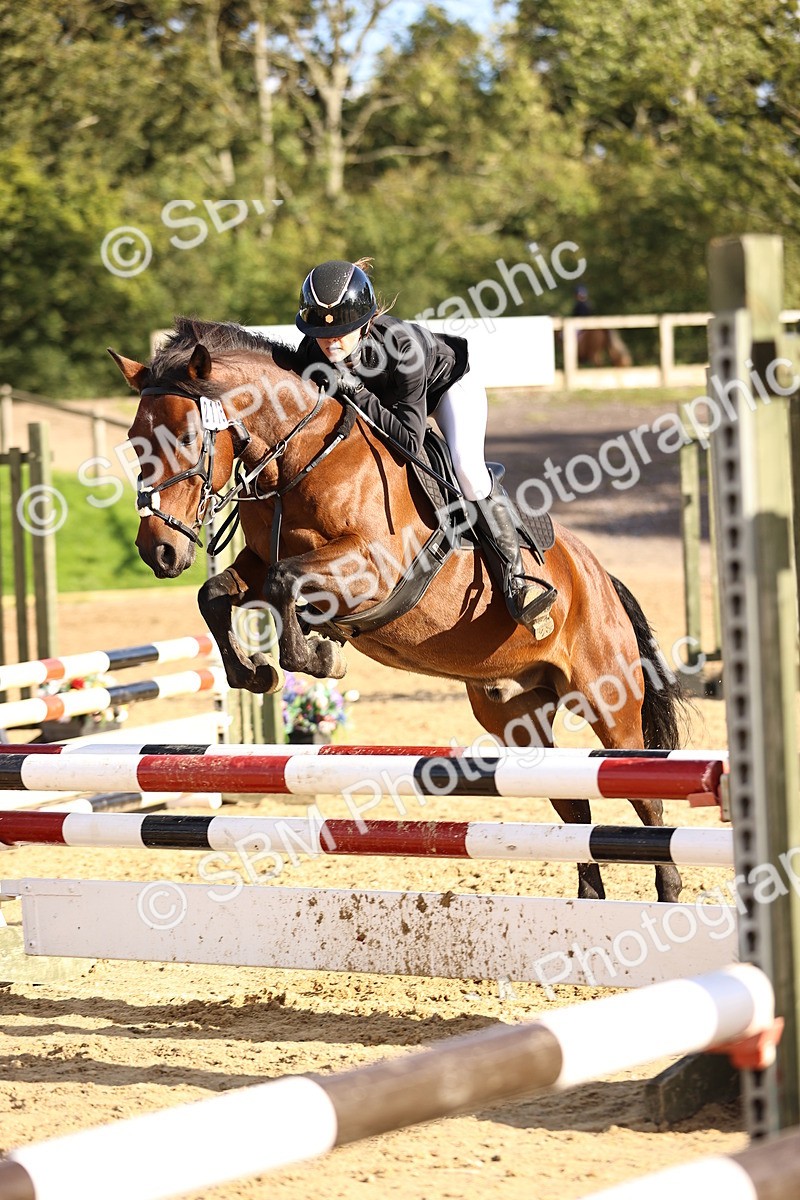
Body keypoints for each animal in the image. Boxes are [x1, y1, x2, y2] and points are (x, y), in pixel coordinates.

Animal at [110, 317, 686, 904]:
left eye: (186, 438)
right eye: (134, 442)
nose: (158, 551)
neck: (303, 458)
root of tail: (600, 577)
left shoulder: (370, 566)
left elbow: (283, 580)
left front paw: (319, 658)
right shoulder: (260, 559)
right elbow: (217, 593)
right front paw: (255, 672)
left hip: (607, 698)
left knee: (645, 796)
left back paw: (668, 887)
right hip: (516, 716)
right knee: (571, 807)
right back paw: (589, 899)